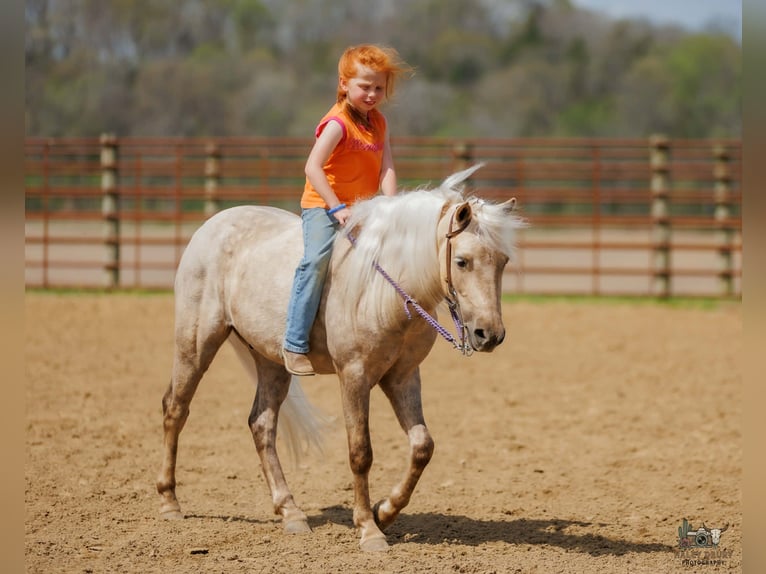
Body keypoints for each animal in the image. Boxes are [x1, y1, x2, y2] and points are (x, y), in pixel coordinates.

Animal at [156, 164, 524, 551]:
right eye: (462, 261)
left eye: (502, 261)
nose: (489, 334)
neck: (385, 292)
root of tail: (210, 227)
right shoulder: (354, 375)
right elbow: (361, 452)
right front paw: (368, 529)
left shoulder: (403, 376)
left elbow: (423, 446)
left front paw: (385, 511)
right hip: (196, 344)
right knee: (175, 408)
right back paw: (169, 503)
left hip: (271, 363)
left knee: (262, 424)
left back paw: (291, 512)